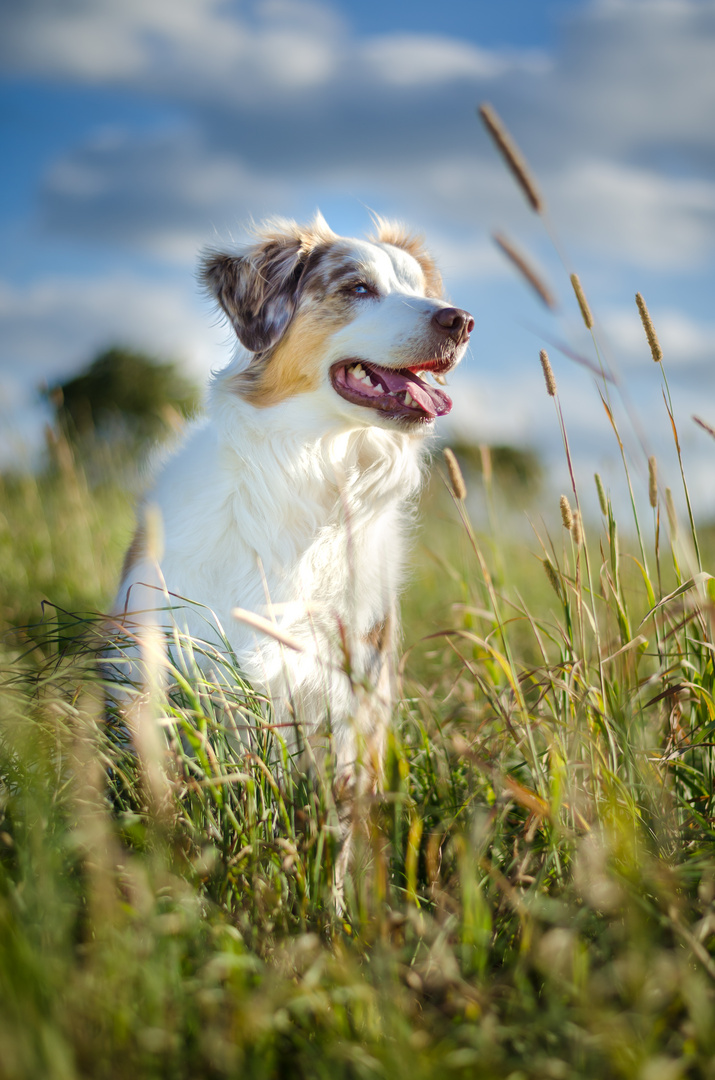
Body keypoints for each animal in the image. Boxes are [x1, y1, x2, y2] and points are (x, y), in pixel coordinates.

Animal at [116, 214, 475, 881]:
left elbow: (336, 834)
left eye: (418, 287)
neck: (310, 476)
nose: (461, 320)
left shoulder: (349, 698)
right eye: (358, 288)